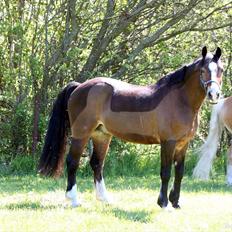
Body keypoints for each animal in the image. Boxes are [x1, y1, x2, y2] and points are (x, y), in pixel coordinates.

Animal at [38, 47, 223, 208]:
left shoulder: (183, 144)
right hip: (81, 133)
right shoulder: (168, 143)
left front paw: (175, 203)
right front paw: (164, 204)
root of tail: (80, 86)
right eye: (202, 70)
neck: (179, 100)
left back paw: (104, 199)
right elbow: (166, 172)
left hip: (101, 135)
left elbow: (179, 173)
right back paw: (74, 199)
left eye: (220, 69)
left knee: (97, 163)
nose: (214, 94)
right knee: (72, 162)